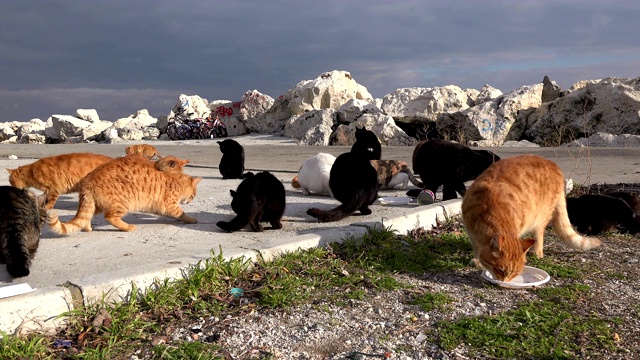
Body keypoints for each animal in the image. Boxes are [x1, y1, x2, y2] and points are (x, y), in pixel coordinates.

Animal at [47, 154, 201, 233]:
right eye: (193, 195)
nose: (190, 201)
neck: (174, 180)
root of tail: (87, 182)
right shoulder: (170, 205)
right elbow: (181, 213)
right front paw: (191, 219)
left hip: (96, 205)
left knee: (86, 217)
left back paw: (88, 227)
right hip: (122, 203)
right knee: (110, 217)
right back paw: (127, 227)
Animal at [460, 154, 600, 282]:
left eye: (516, 274)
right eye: (500, 270)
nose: (505, 282)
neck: (489, 208)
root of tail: (554, 165)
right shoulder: (471, 232)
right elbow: (476, 247)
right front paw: (477, 259)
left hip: (540, 216)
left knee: (539, 234)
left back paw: (536, 252)